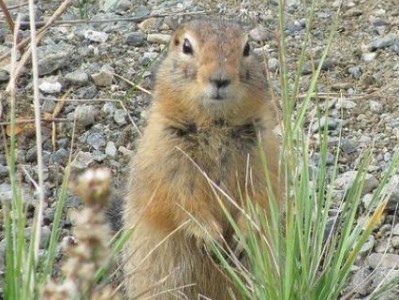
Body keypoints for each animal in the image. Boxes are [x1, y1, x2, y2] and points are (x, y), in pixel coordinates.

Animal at [123, 18, 282, 300]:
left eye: (247, 48)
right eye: (187, 46)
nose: (220, 79)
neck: (215, 124)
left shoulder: (264, 151)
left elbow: (263, 192)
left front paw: (242, 236)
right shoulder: (167, 153)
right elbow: (181, 197)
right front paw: (211, 237)